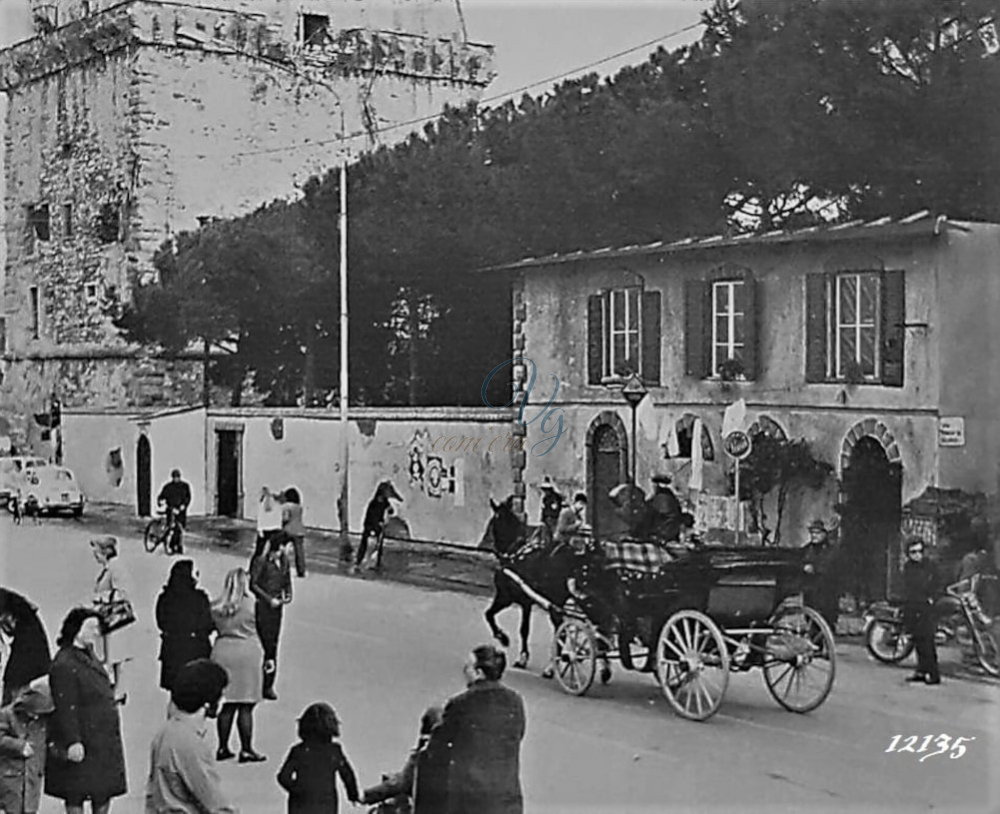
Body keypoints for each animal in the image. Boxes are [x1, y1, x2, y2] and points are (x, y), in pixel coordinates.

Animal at [476, 494, 584, 672]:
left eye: (493, 521)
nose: (484, 545)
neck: (514, 551)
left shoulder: (505, 597)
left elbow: (489, 615)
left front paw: (503, 638)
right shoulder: (526, 602)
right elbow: (524, 629)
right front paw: (522, 657)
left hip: (554, 604)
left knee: (560, 631)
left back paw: (551, 668)